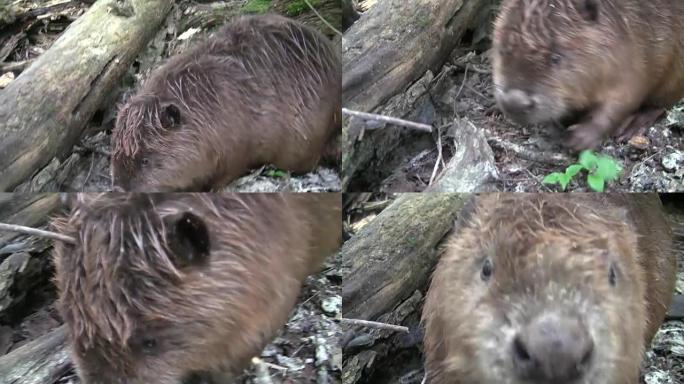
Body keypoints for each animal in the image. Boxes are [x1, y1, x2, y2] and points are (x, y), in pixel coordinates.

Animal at [492, 0, 684, 150]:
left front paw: (579, 138)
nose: (514, 103)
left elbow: (624, 99)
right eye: (502, 50)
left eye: (556, 57)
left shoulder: (631, 53)